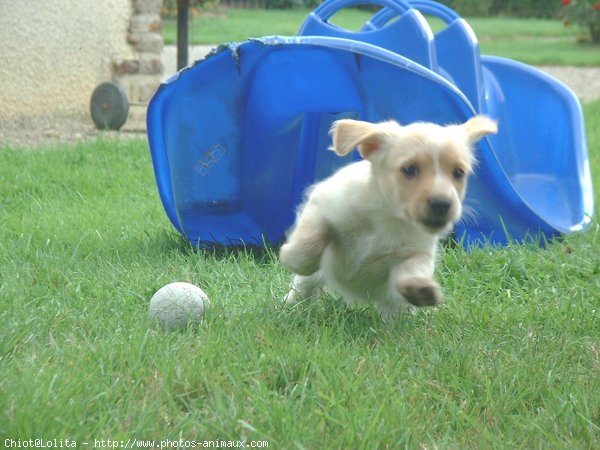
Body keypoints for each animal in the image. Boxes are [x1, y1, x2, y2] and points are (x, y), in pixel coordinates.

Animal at [278, 116, 494, 320]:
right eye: (409, 169)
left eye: (458, 173)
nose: (442, 204)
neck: (389, 218)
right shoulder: (322, 204)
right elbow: (310, 241)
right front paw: (291, 257)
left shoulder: (418, 253)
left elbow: (411, 269)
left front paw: (419, 289)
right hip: (308, 281)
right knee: (303, 288)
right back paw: (288, 306)